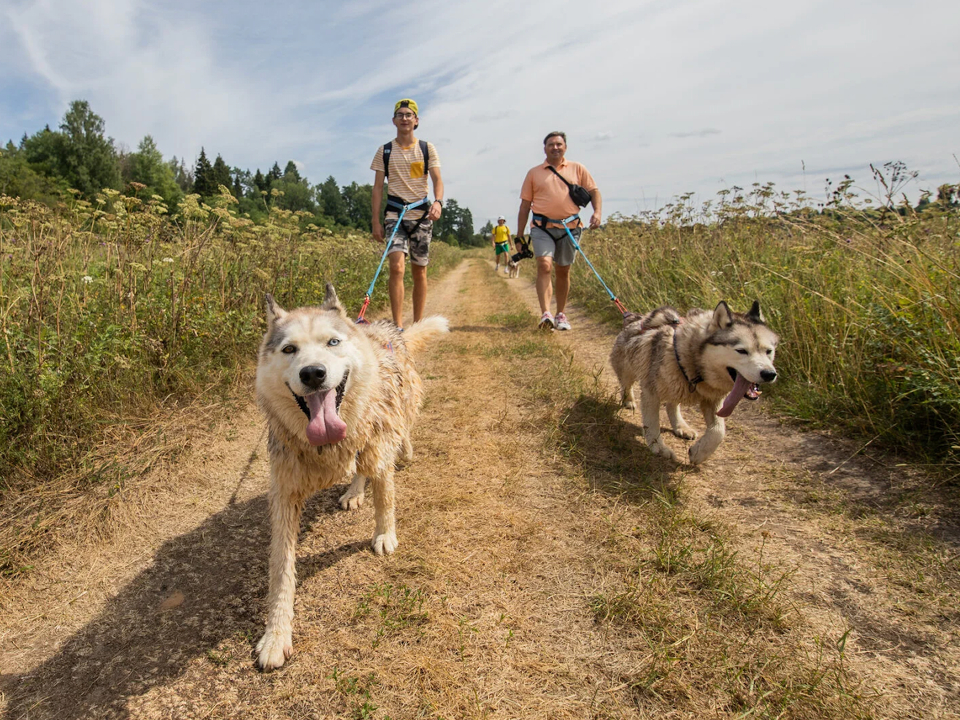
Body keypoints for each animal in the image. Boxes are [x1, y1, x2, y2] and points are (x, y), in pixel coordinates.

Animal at [255, 286, 450, 668]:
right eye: (289, 349)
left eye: (332, 342)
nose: (313, 373)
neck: (327, 446)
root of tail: (384, 328)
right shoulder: (284, 492)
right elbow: (281, 569)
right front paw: (276, 634)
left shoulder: (378, 446)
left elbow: (385, 498)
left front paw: (385, 534)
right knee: (360, 470)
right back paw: (354, 491)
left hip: (398, 408)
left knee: (398, 434)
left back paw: (404, 450)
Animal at [612, 300, 776, 464]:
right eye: (741, 351)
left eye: (769, 351)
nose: (770, 374)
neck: (696, 364)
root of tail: (634, 317)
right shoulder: (651, 393)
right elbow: (652, 424)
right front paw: (659, 448)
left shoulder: (714, 400)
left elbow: (718, 431)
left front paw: (699, 453)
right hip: (629, 371)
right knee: (626, 386)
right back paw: (628, 401)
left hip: (677, 387)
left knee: (672, 405)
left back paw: (681, 427)